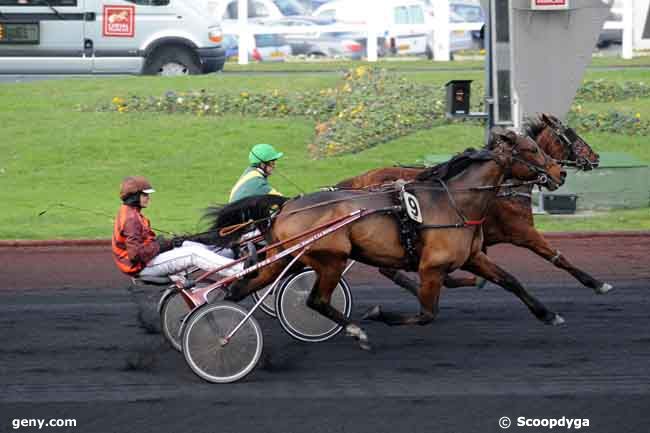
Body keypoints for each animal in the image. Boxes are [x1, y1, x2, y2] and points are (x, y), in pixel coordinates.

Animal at [211, 127, 560, 348]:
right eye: (532, 149)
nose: (560, 173)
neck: (454, 202)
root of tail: (285, 207)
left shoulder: (473, 257)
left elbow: (511, 281)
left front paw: (548, 314)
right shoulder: (432, 268)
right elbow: (426, 314)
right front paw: (379, 314)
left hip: (289, 259)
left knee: (243, 286)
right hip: (330, 258)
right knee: (316, 300)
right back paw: (356, 331)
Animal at [336, 113, 612, 296]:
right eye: (569, 135)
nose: (595, 157)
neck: (502, 186)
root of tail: (359, 180)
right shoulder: (522, 231)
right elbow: (557, 257)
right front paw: (598, 283)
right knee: (389, 270)